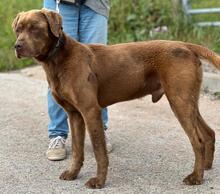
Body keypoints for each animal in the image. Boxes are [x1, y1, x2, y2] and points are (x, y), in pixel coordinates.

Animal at [12, 8, 218, 188]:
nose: (17, 46)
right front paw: (73, 173)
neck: (58, 59)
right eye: (18, 29)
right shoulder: (75, 114)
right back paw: (206, 168)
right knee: (208, 133)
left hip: (179, 101)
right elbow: (77, 150)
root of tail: (185, 45)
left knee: (197, 141)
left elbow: (99, 151)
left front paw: (99, 181)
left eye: (35, 28)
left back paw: (196, 177)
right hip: (187, 101)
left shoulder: (90, 111)